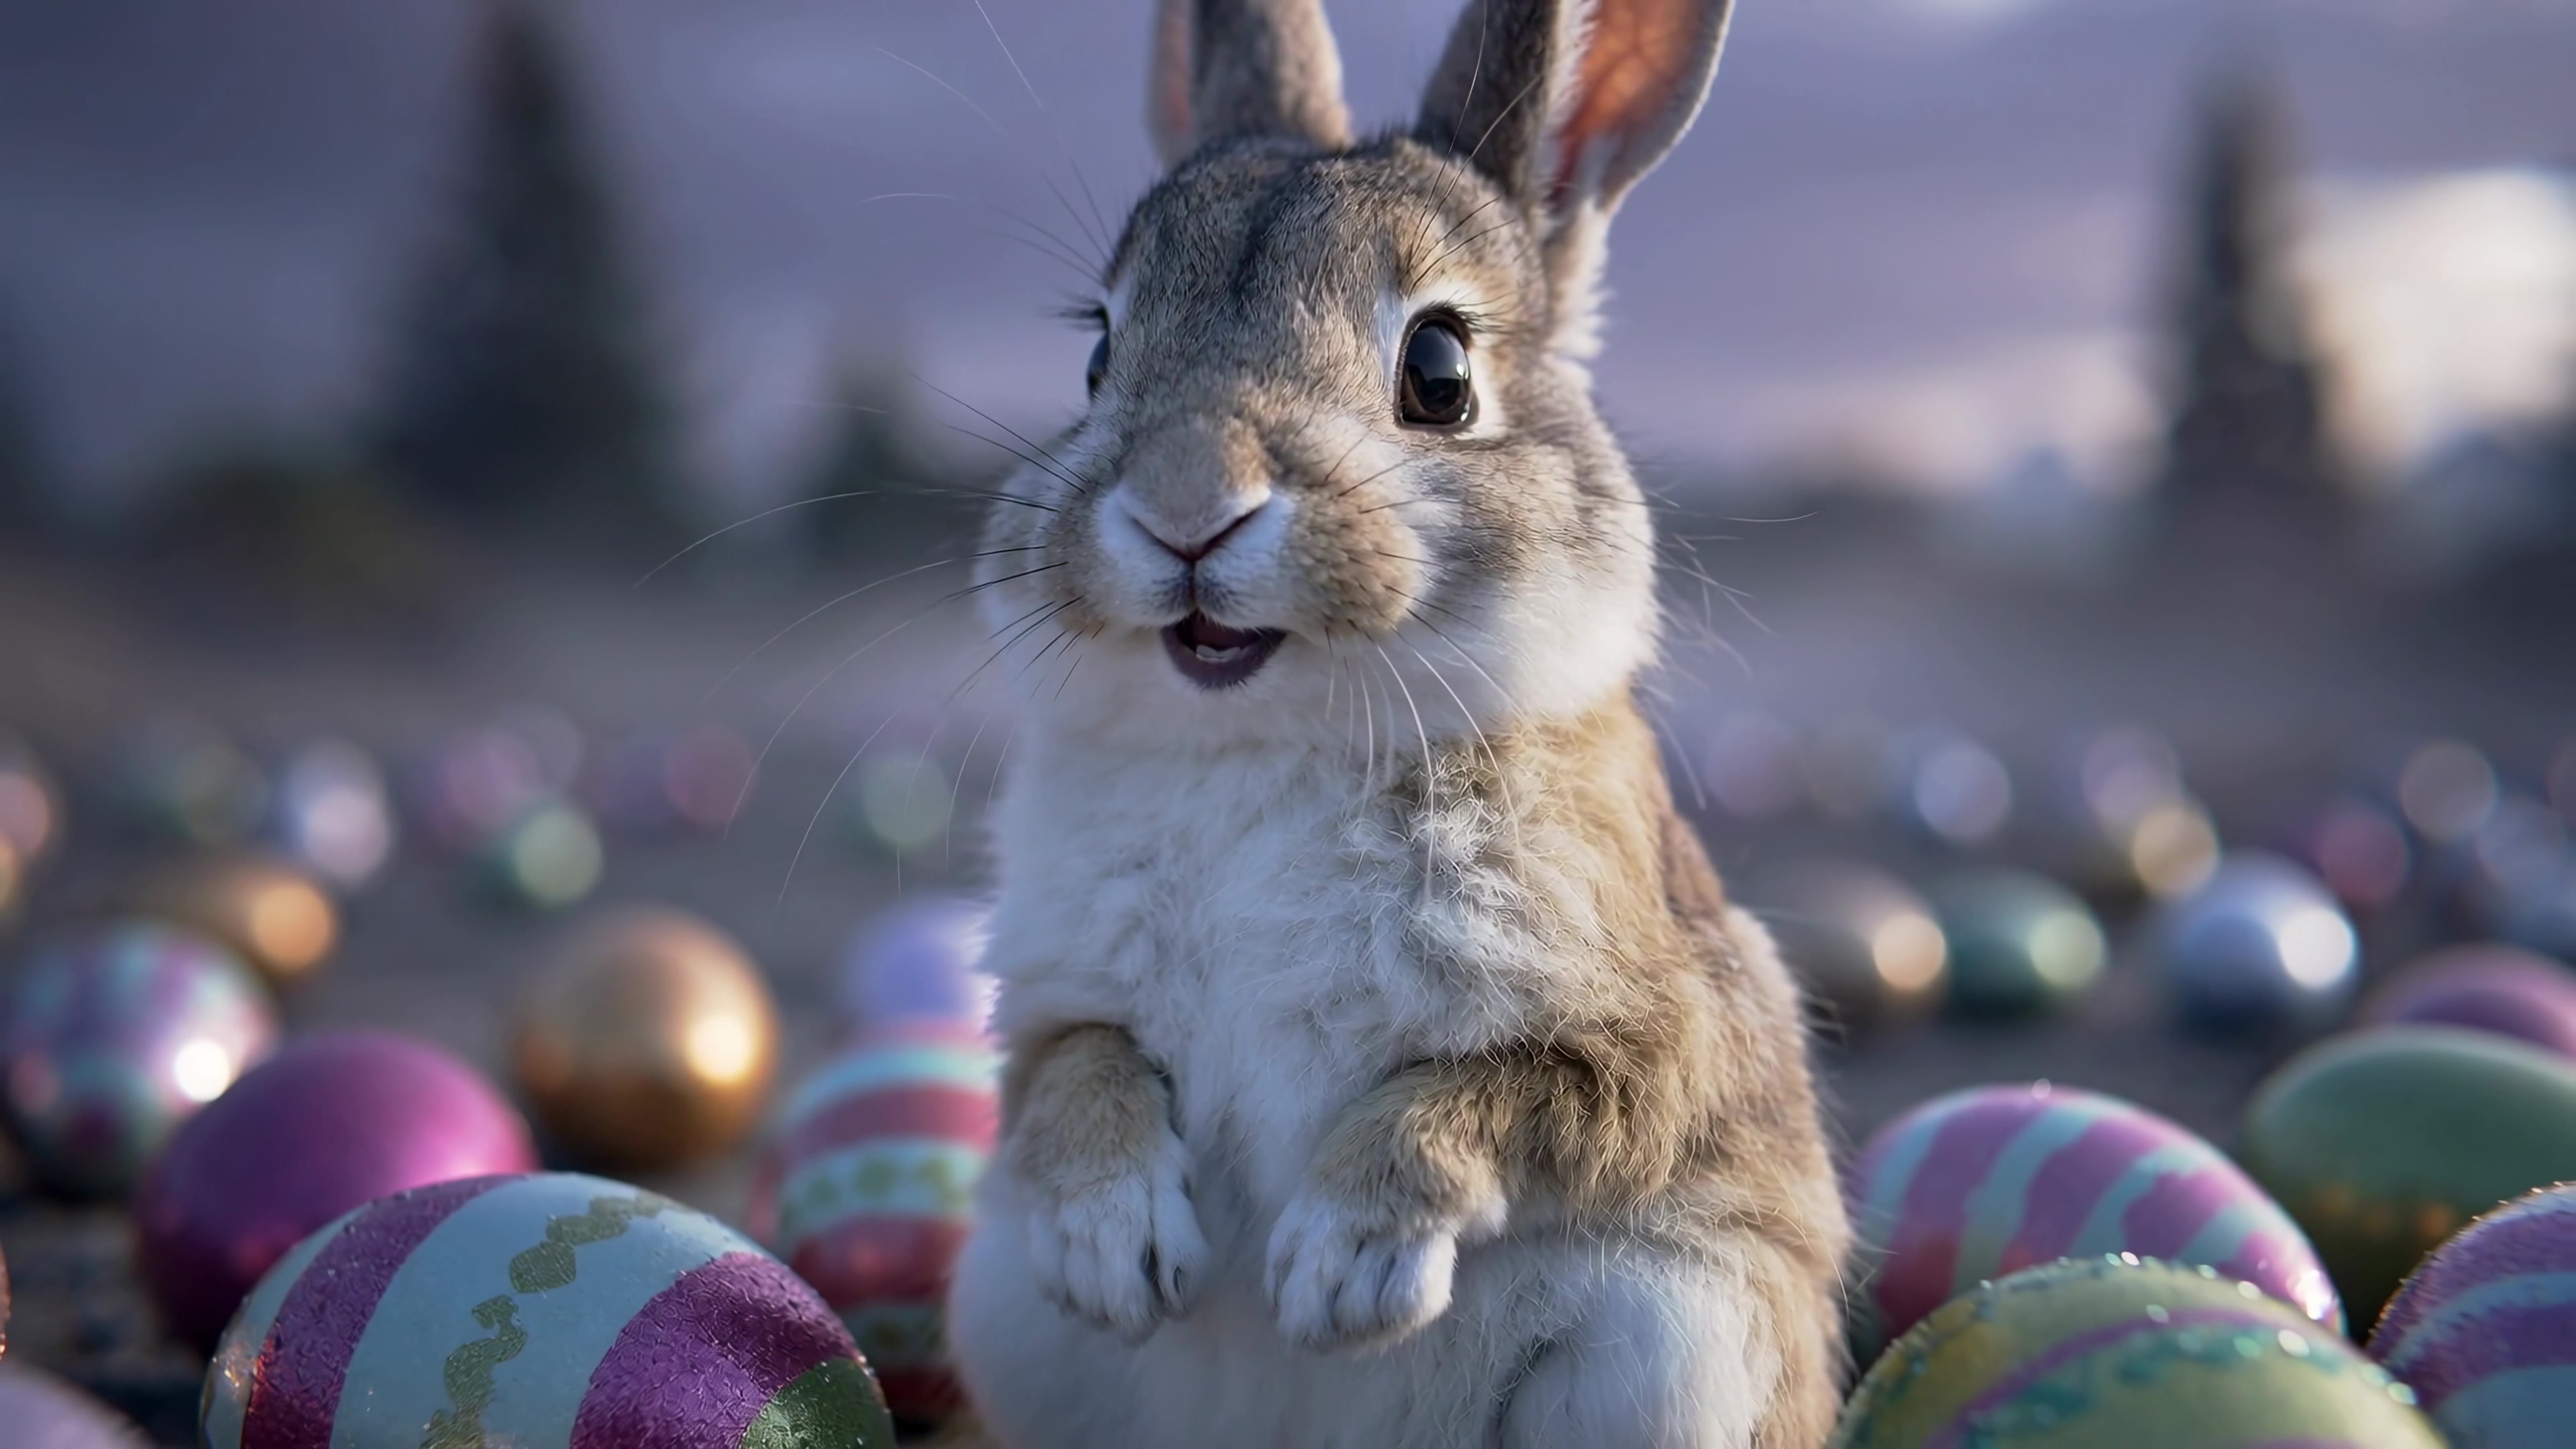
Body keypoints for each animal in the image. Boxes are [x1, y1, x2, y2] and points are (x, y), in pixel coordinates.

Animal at [942, 0, 1851, 1445]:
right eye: (1096, 354)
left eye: (1440, 370)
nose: (1183, 505)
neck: (1270, 743)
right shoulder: (1046, 1006)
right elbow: (1073, 1071)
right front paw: (1111, 1246)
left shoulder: (1649, 1038)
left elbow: (1511, 1091)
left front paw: (1342, 1268)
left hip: (1672, 1354)